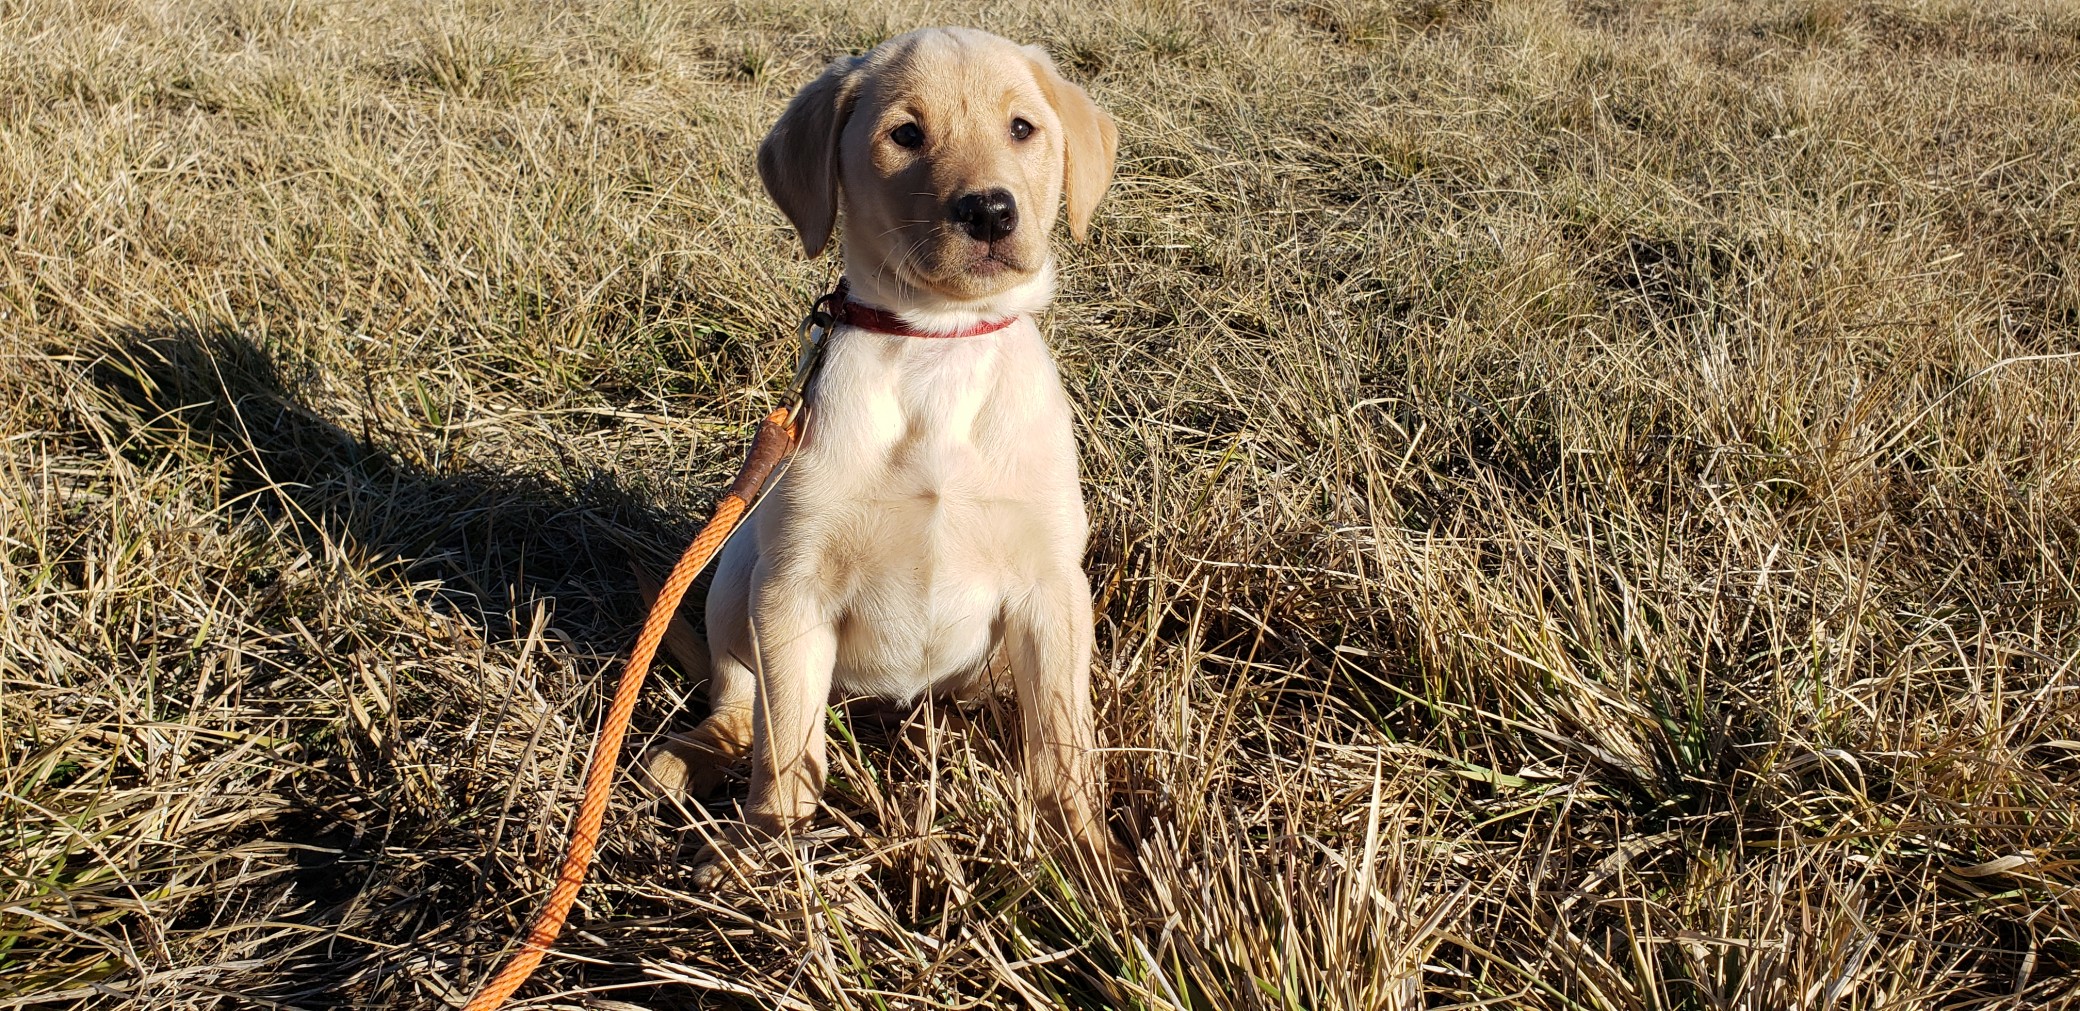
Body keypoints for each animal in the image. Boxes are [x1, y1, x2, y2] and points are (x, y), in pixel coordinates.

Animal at [640, 25, 1123, 877]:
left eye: (1022, 128)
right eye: (905, 136)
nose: (990, 211)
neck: (938, 346)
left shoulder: (1051, 587)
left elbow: (1065, 739)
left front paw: (1085, 852)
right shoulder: (791, 589)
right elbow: (787, 744)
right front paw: (766, 851)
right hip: (737, 572)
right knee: (740, 703)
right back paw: (685, 758)